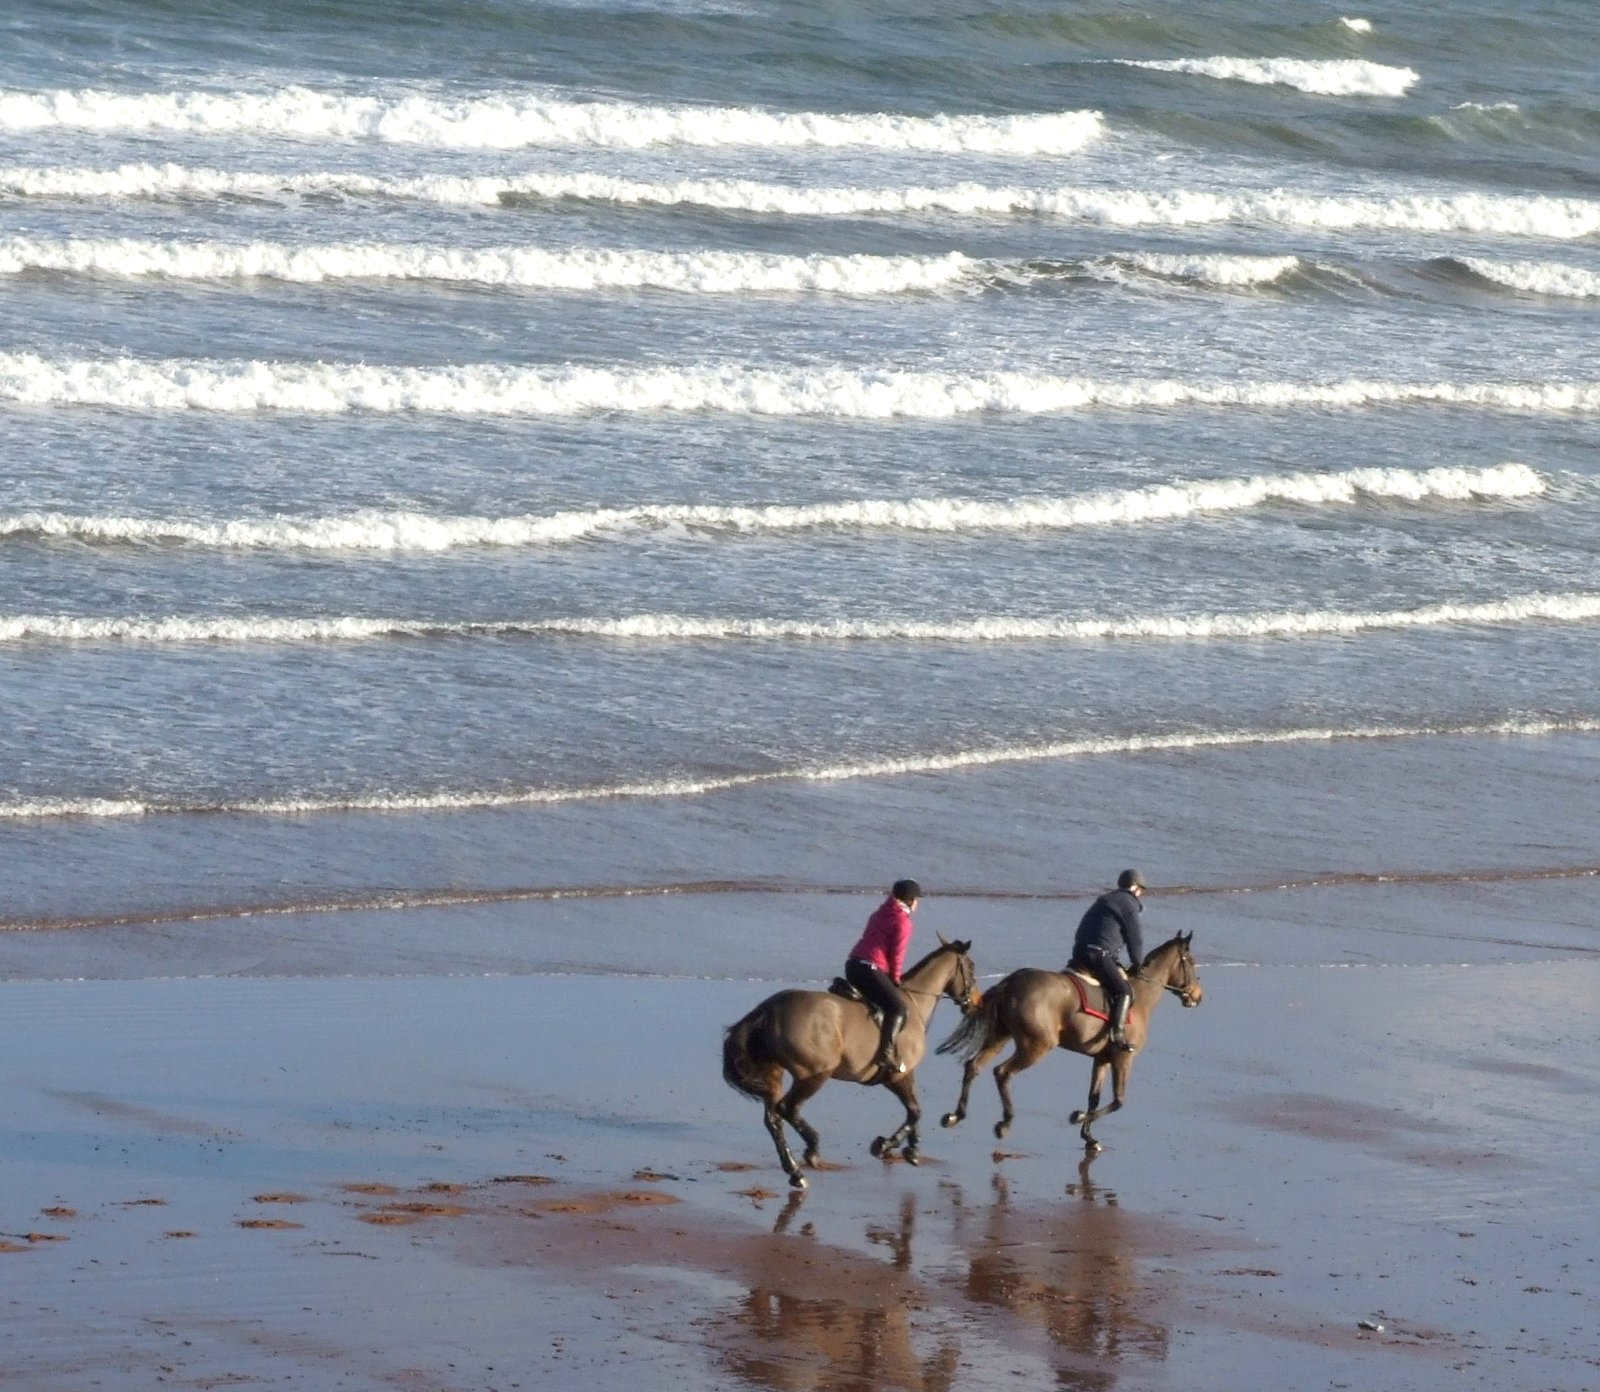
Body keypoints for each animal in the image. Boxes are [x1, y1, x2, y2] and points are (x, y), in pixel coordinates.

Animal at [723, 934, 972, 1190]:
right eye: (971, 968)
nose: (971, 1001)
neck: (914, 1004)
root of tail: (768, 1009)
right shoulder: (898, 1075)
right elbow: (915, 1112)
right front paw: (890, 1146)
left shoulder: (902, 1075)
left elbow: (914, 1109)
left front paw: (908, 1148)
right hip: (814, 1074)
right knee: (787, 1109)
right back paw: (811, 1151)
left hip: (775, 1074)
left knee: (773, 1119)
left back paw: (794, 1171)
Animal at [934, 934, 1203, 1158]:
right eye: (1190, 961)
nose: (1198, 996)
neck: (1139, 996)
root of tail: (1012, 981)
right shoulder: (1123, 1058)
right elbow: (1118, 1101)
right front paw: (1078, 1119)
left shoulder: (1102, 1059)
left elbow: (1094, 1098)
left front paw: (1089, 1136)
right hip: (1036, 1046)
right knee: (1002, 1072)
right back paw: (1004, 1123)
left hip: (1000, 1037)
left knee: (973, 1066)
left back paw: (955, 1116)